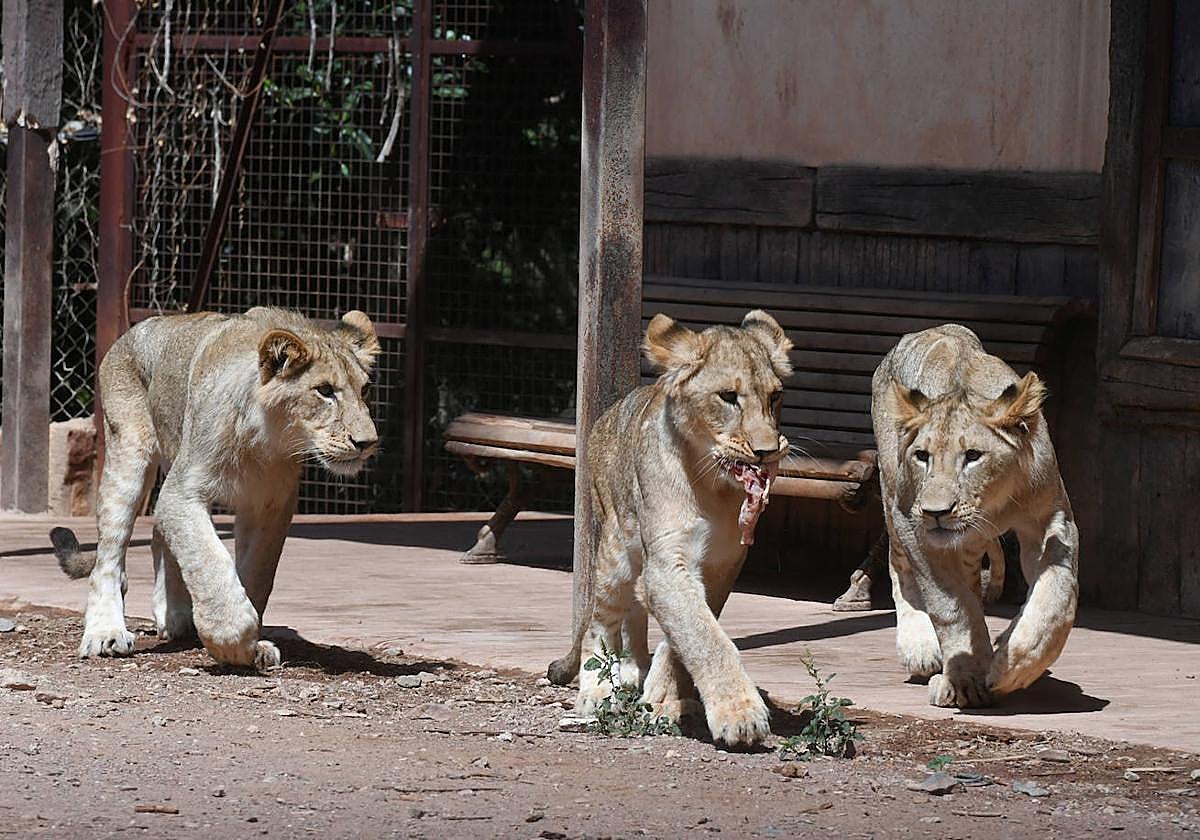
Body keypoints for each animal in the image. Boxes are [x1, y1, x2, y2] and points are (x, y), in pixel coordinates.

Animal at [50, 307, 380, 670]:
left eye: (365, 390)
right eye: (324, 390)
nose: (367, 442)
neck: (266, 441)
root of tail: (131, 332)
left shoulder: (270, 503)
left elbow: (256, 573)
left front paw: (253, 645)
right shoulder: (183, 491)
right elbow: (209, 561)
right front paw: (231, 641)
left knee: (158, 535)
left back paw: (173, 615)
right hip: (129, 454)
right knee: (109, 557)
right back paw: (106, 633)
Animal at [546, 310, 792, 748]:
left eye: (775, 397)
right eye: (728, 397)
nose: (767, 452)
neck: (714, 487)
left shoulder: (723, 565)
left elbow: (690, 632)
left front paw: (664, 697)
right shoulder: (666, 563)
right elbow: (705, 637)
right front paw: (740, 714)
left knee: (635, 619)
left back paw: (634, 672)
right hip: (614, 553)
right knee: (599, 619)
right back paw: (597, 690)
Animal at [873, 323, 1079, 708]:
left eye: (972, 456)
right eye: (922, 456)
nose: (936, 512)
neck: (995, 503)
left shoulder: (1052, 519)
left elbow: (1057, 597)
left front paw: (1014, 665)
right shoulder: (916, 527)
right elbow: (952, 608)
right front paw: (966, 678)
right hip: (894, 498)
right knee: (899, 565)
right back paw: (919, 646)